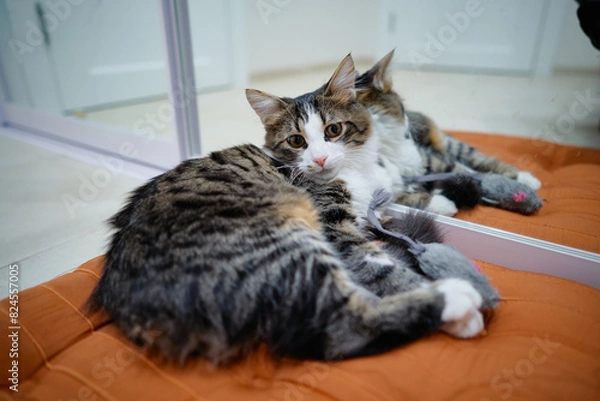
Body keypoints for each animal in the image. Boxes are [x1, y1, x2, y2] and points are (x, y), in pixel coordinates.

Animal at [89, 54, 488, 366]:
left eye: (334, 130)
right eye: (297, 141)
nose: (321, 158)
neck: (356, 171)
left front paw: (440, 198)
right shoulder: (336, 228)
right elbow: (383, 267)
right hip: (288, 244)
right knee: (346, 325)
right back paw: (456, 298)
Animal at [354, 50, 540, 216]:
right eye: (402, 104)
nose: (408, 120)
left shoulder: (428, 159)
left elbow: (463, 171)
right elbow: (405, 200)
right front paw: (443, 204)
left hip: (450, 146)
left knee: (478, 161)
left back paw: (527, 180)